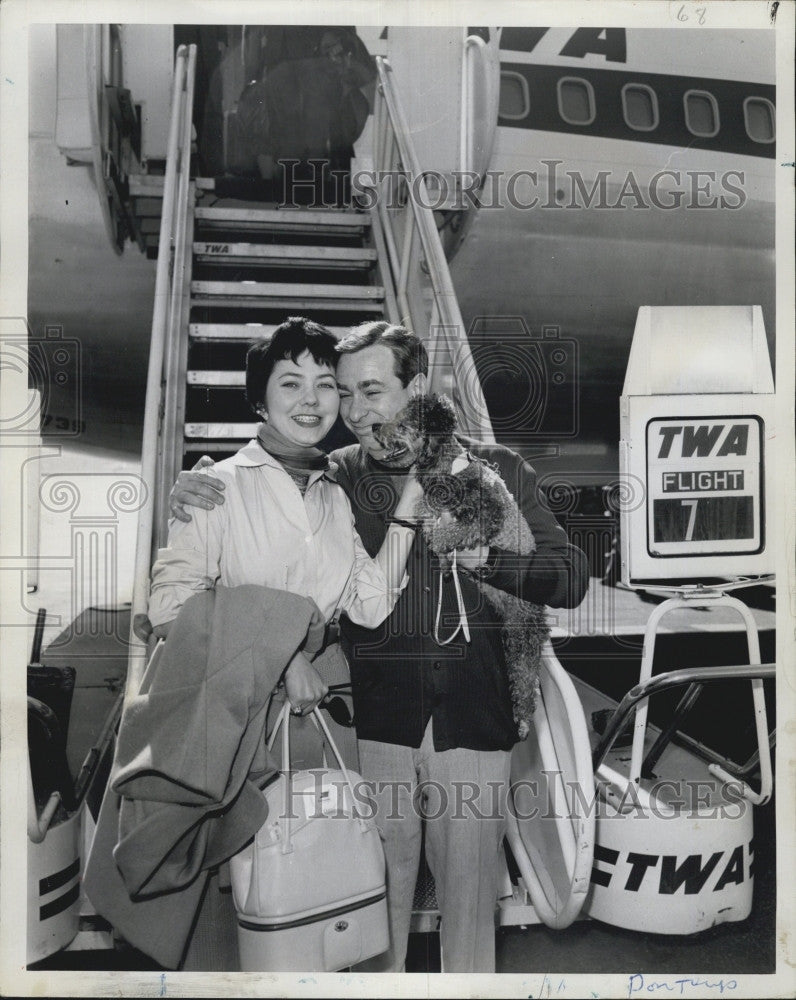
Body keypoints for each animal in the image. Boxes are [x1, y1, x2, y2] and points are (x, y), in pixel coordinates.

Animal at [372, 394, 548, 740]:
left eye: (402, 423)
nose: (373, 426)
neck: (447, 466)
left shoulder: (487, 515)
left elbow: (452, 532)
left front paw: (439, 541)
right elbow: (428, 514)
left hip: (524, 633)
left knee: (525, 681)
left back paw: (523, 720)